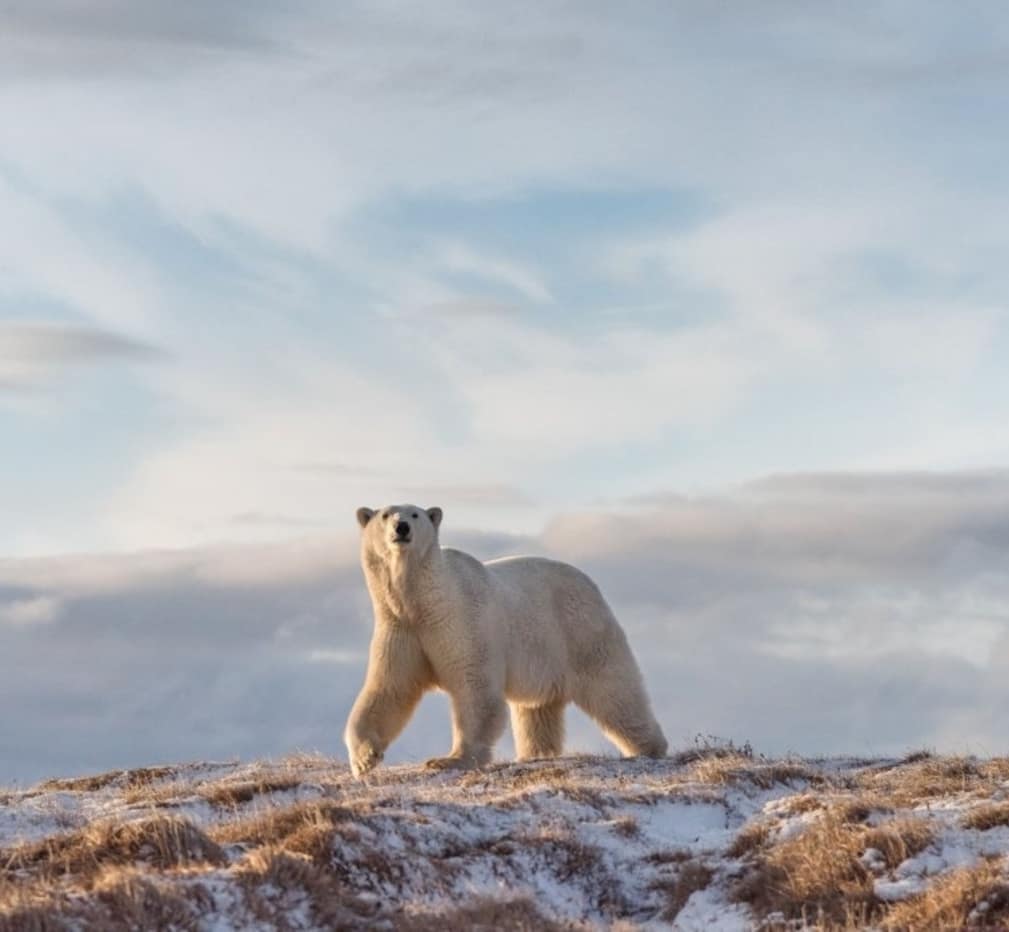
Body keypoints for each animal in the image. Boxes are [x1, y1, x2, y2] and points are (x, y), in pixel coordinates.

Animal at [343, 506, 665, 774]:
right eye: (385, 515)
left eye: (415, 514)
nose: (401, 527)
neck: (425, 603)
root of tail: (590, 583)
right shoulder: (401, 629)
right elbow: (389, 689)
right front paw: (364, 759)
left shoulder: (462, 623)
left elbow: (475, 688)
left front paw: (451, 759)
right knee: (537, 710)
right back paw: (535, 754)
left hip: (580, 631)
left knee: (614, 690)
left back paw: (649, 747)